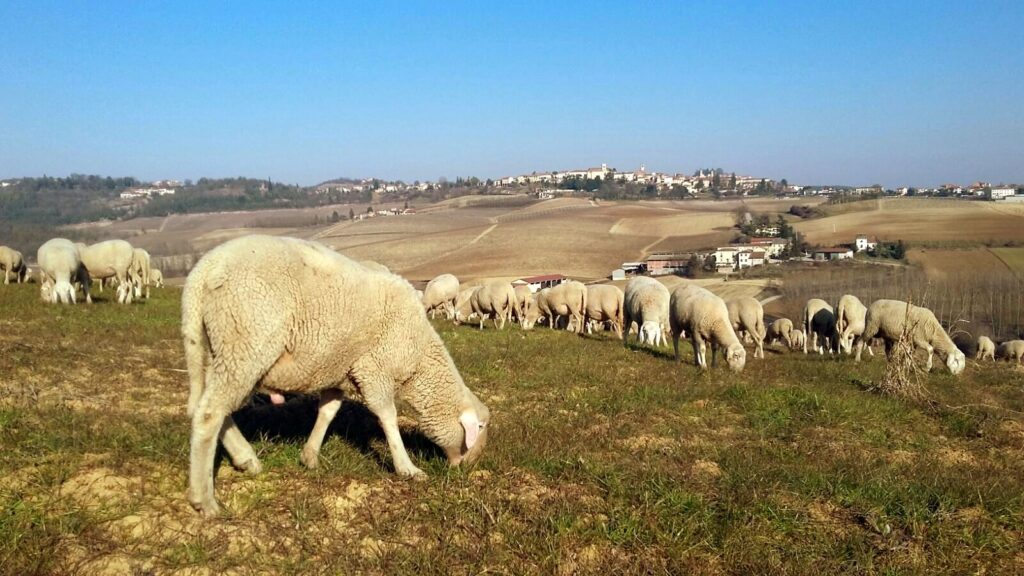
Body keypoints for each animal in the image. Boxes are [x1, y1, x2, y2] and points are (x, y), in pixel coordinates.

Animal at [182, 235, 490, 516]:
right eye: (480, 428)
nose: (469, 468)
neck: (419, 359)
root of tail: (204, 269)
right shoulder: (374, 367)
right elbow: (387, 416)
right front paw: (407, 468)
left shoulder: (341, 370)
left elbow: (328, 411)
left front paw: (310, 456)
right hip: (245, 344)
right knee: (209, 413)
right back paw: (204, 499)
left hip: (213, 351)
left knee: (209, 408)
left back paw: (246, 460)